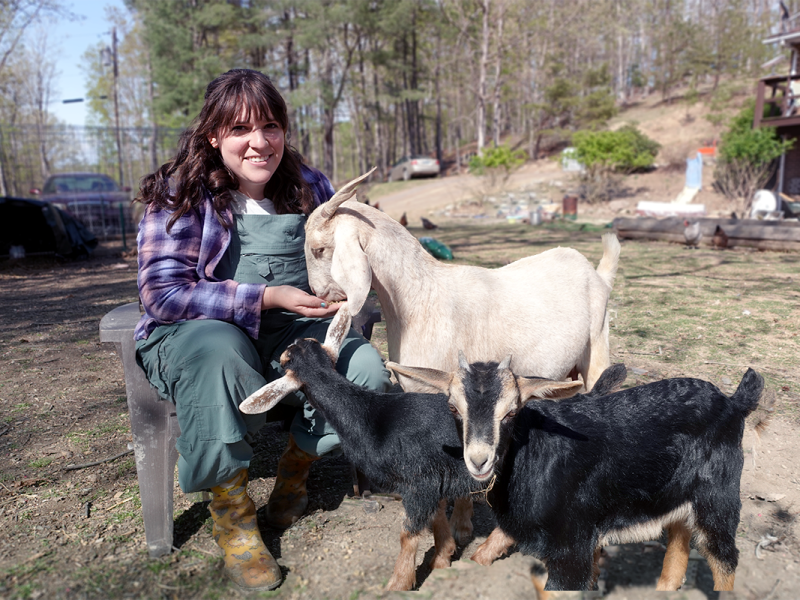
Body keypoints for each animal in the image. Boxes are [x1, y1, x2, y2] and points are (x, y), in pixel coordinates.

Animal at [304, 170, 620, 543]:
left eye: (319, 248)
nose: (319, 294)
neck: (420, 297)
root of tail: (597, 273)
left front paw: (460, 527)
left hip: (597, 343)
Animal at [388, 356, 765, 591]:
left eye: (512, 411)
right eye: (453, 407)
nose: (479, 460)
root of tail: (733, 403)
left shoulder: (573, 543)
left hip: (718, 495)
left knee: (724, 555)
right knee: (678, 542)